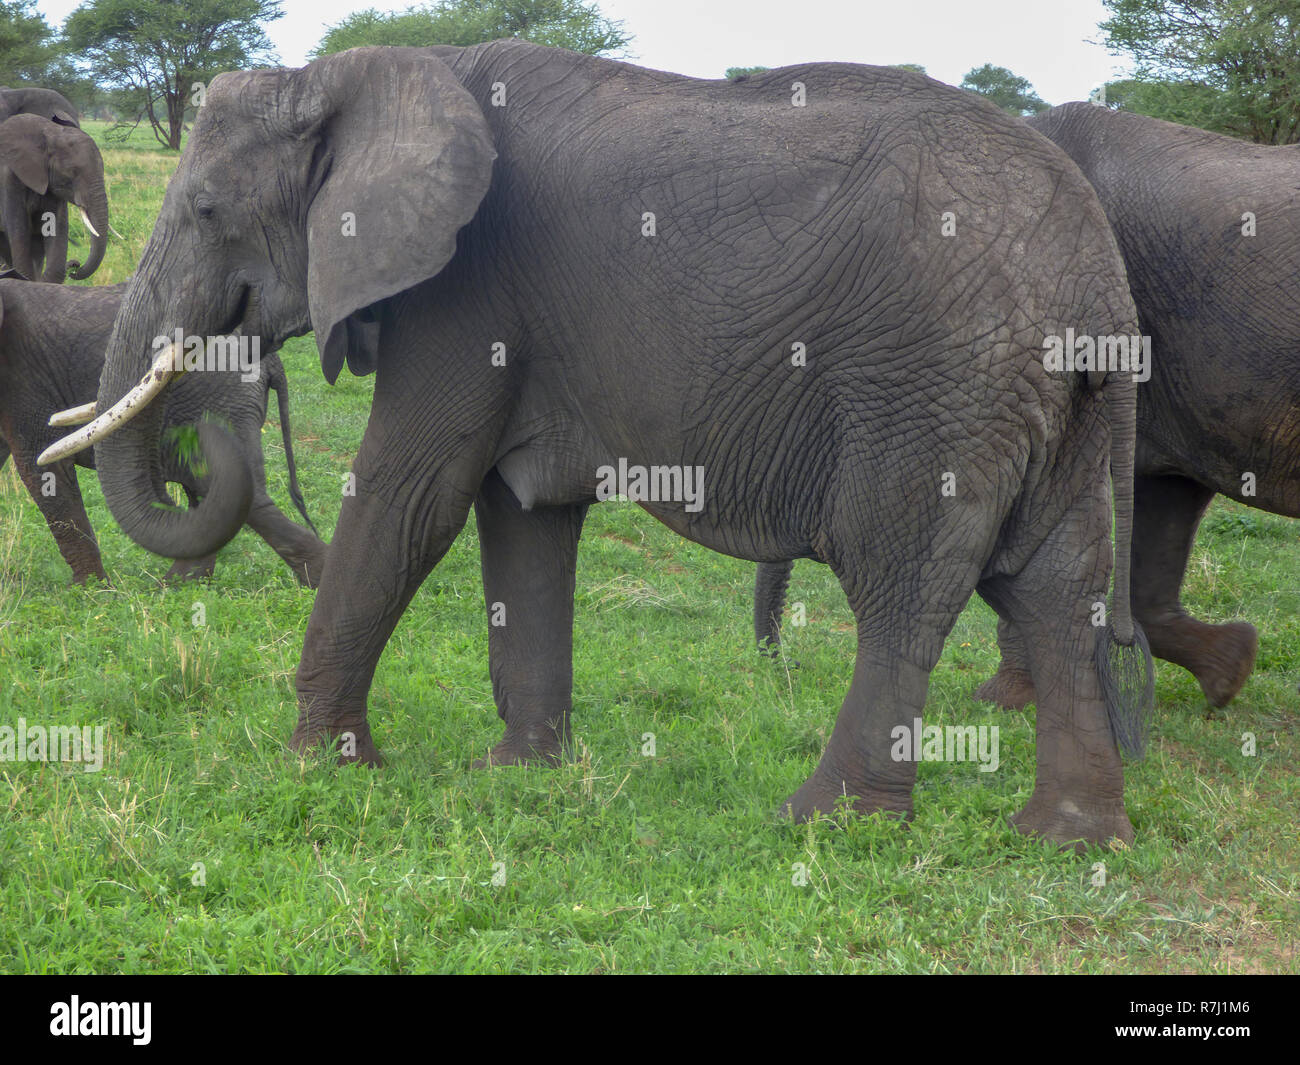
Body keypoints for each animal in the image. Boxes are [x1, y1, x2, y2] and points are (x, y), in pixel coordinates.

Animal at [1, 274, 325, 587]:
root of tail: (272, 360)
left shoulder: (26, 381)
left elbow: (44, 470)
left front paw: (89, 590)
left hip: (217, 398)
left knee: (233, 492)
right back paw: (178, 585)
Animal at [43, 43, 1159, 847]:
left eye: (205, 209)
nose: (205, 404)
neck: (360, 73)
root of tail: (1097, 275)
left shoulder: (465, 286)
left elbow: (411, 495)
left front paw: (323, 761)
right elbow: (522, 517)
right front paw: (516, 773)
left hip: (932, 384)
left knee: (899, 578)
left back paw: (821, 823)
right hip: (1046, 401)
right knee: (1054, 584)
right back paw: (1069, 838)